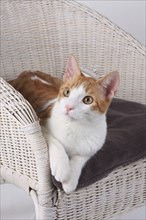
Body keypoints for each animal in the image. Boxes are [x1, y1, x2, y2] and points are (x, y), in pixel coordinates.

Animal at [10, 55, 120, 193]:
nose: (68, 107)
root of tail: (25, 72)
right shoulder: (41, 122)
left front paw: (71, 179)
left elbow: (82, 157)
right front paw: (62, 167)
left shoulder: (94, 145)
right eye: (67, 92)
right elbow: (54, 141)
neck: (77, 126)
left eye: (88, 100)